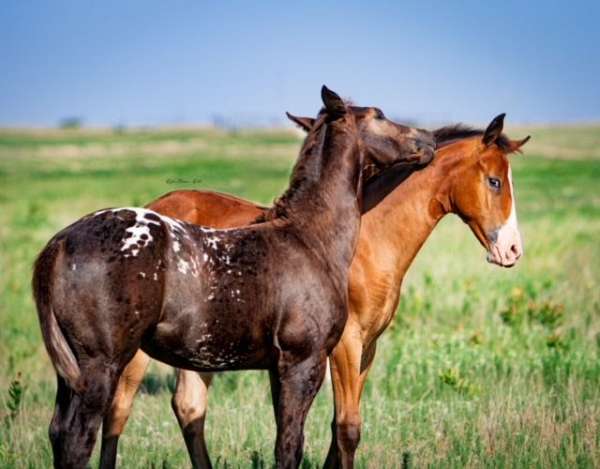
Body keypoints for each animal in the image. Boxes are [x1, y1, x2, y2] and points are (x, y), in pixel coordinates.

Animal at [32, 85, 434, 468]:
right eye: (378, 115)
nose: (428, 140)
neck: (310, 238)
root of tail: (60, 243)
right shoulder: (304, 361)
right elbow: (290, 447)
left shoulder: (278, 367)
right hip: (101, 365)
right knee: (79, 438)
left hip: (71, 372)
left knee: (58, 432)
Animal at [96, 111, 528, 466]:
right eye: (494, 181)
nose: (512, 251)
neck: (363, 239)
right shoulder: (344, 344)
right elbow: (347, 428)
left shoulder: (367, 346)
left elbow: (341, 430)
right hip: (138, 351)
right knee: (117, 410)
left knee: (189, 407)